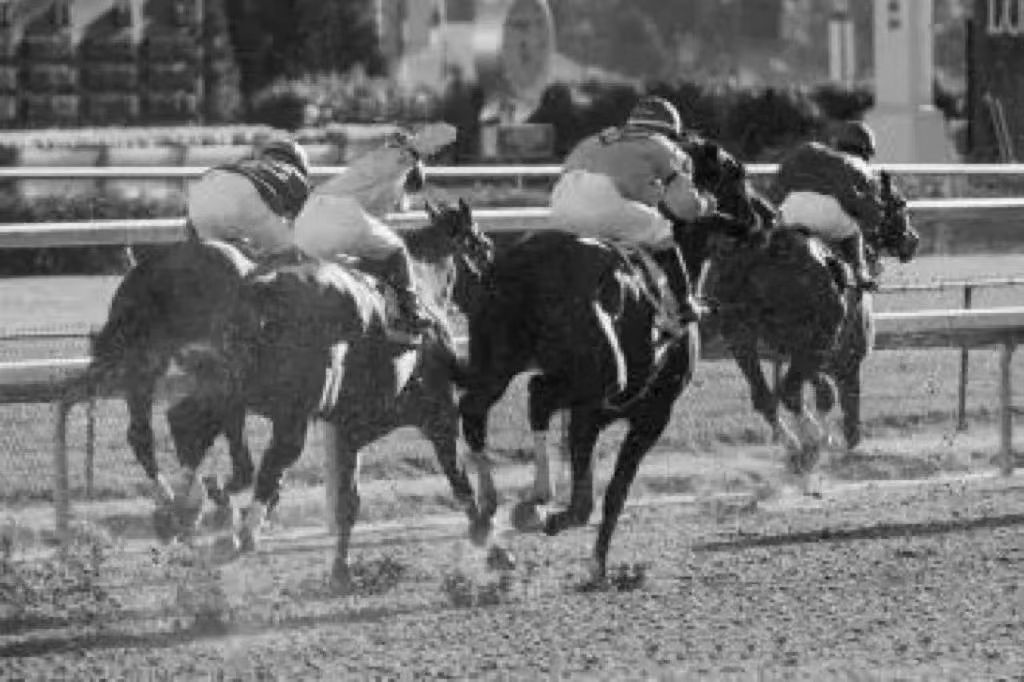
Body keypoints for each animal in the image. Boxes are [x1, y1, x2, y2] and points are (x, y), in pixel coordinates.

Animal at [169, 199, 498, 591]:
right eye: (485, 247)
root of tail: (262, 290)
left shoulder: (349, 429)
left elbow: (347, 503)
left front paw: (341, 569)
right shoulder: (438, 413)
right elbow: (458, 479)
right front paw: (489, 539)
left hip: (232, 388)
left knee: (193, 424)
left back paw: (185, 505)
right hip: (291, 406)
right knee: (272, 458)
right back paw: (239, 530)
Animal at [454, 138, 768, 583]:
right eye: (737, 174)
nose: (764, 217)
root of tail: (529, 265)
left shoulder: (595, 412)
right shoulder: (650, 413)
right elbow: (606, 496)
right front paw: (595, 563)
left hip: (496, 362)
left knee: (477, 409)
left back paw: (490, 515)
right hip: (599, 373)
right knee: (536, 395)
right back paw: (531, 504)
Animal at [700, 170, 919, 482]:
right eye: (900, 203)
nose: (913, 241)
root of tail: (763, 252)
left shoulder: (805, 351)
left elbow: (821, 391)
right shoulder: (844, 356)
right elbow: (844, 409)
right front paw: (829, 440)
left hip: (740, 335)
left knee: (765, 396)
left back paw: (795, 446)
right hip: (810, 337)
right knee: (789, 391)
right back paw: (809, 444)